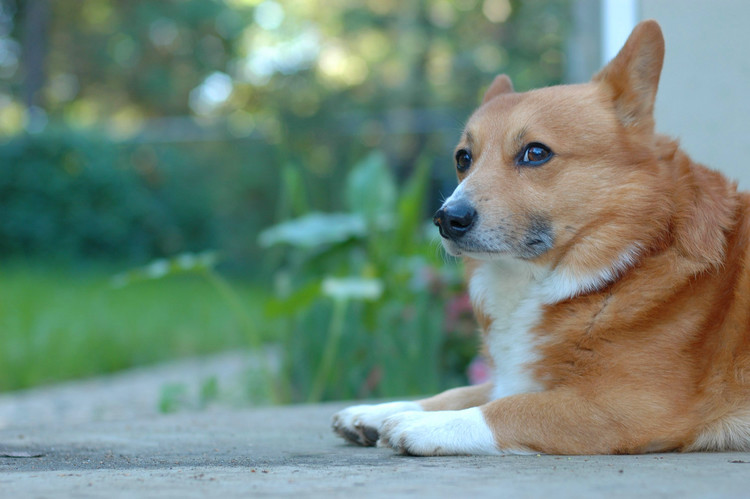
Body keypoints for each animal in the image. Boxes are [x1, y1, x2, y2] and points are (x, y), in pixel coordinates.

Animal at [332, 20, 750, 458]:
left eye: (535, 153)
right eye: (463, 158)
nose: (447, 219)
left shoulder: (628, 405)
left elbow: (510, 409)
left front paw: (424, 424)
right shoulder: (518, 378)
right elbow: (464, 392)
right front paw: (380, 410)